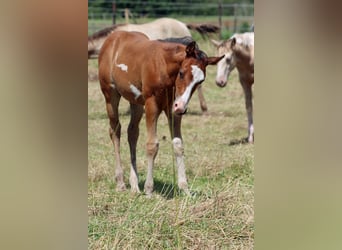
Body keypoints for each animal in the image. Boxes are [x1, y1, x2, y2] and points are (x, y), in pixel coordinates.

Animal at [97, 30, 223, 195]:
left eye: (200, 81)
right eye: (181, 73)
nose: (182, 107)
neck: (164, 67)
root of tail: (113, 36)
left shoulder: (172, 108)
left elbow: (178, 144)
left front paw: (185, 188)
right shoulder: (152, 104)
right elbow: (152, 145)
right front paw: (149, 190)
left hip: (136, 102)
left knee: (132, 133)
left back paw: (134, 185)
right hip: (110, 95)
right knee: (115, 131)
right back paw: (121, 183)